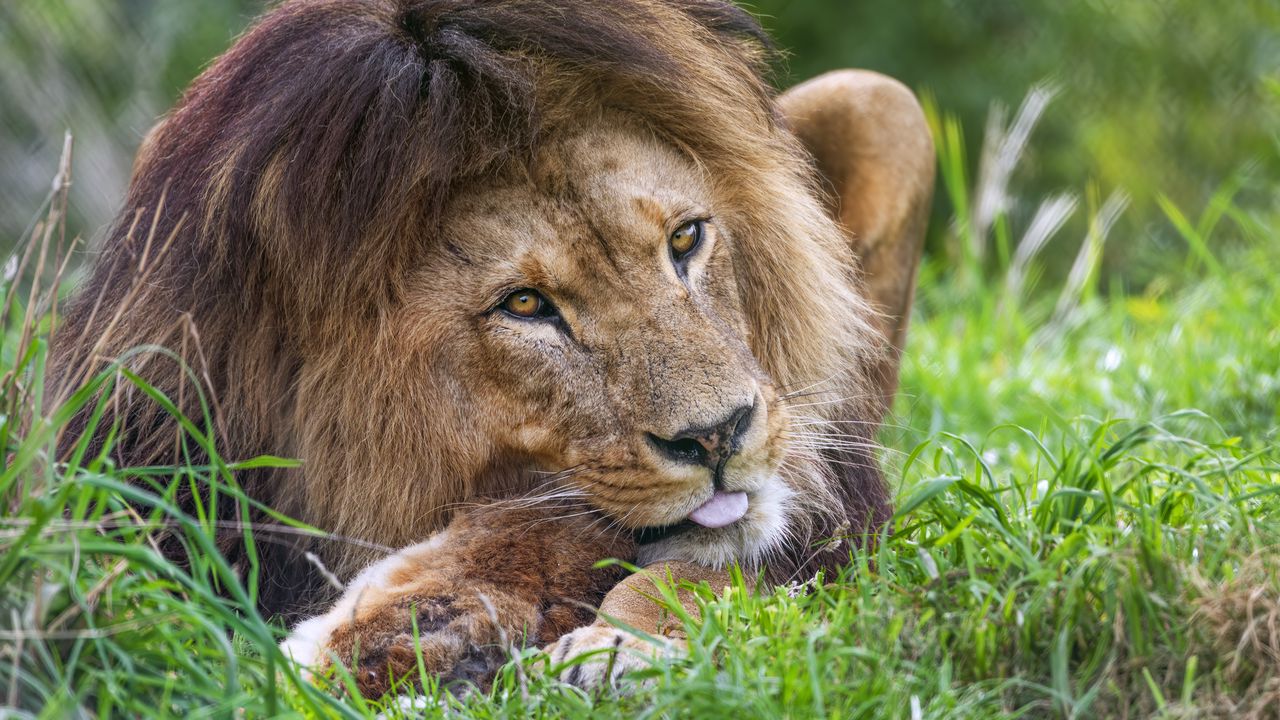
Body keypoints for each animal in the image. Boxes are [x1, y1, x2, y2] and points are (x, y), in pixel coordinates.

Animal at [50, 0, 933, 695]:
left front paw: (615, 648)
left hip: (881, 103)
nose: (719, 437)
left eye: (686, 239)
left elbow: (704, 564)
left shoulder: (828, 502)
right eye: (526, 305)